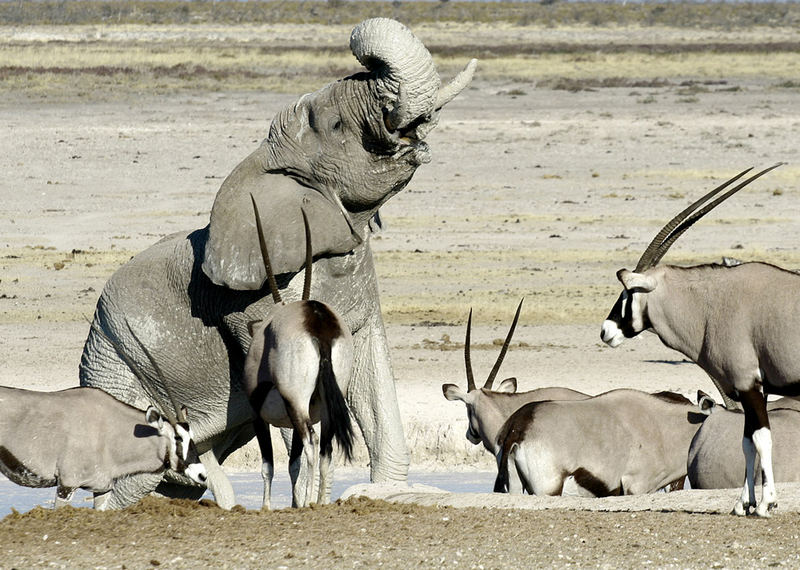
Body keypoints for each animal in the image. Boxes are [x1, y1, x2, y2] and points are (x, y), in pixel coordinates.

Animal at [76, 16, 476, 506]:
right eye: (337, 126)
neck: (267, 165)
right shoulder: (250, 304)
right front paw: (307, 504)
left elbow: (371, 375)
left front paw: (388, 492)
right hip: (116, 363)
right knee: (130, 478)